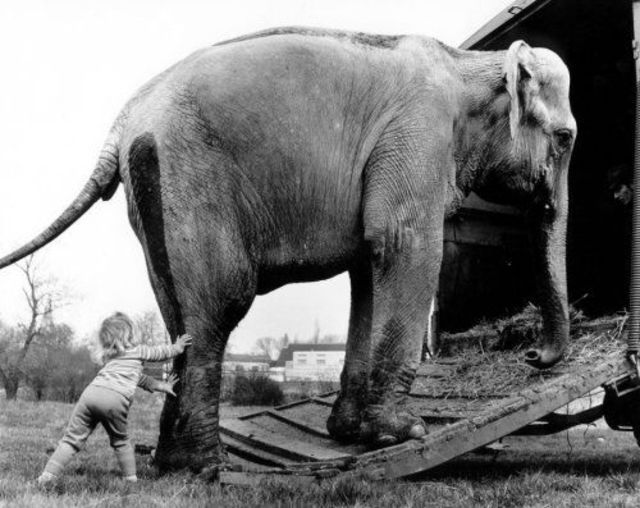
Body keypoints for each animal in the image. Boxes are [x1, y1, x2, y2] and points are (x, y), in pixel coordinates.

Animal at [0, 27, 576, 471]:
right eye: (566, 138)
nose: (531, 354)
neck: (467, 64)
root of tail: (122, 123)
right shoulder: (417, 141)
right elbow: (403, 247)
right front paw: (402, 433)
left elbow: (369, 268)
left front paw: (350, 433)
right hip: (193, 182)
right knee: (219, 306)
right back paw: (206, 468)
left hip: (154, 195)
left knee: (178, 310)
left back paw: (174, 464)